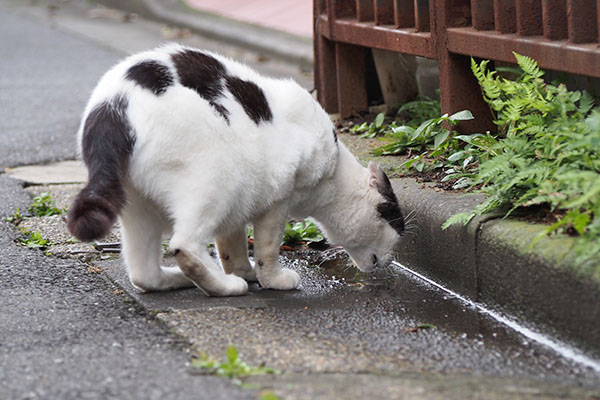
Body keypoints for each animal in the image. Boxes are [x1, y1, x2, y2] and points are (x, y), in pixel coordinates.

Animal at [65, 43, 406, 296]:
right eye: (396, 223)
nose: (393, 257)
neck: (333, 170)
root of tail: (112, 105)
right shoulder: (278, 199)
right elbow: (268, 249)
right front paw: (271, 280)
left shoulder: (243, 200)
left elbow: (231, 242)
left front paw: (243, 269)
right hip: (215, 182)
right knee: (184, 245)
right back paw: (226, 286)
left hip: (140, 208)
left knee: (143, 274)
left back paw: (179, 279)